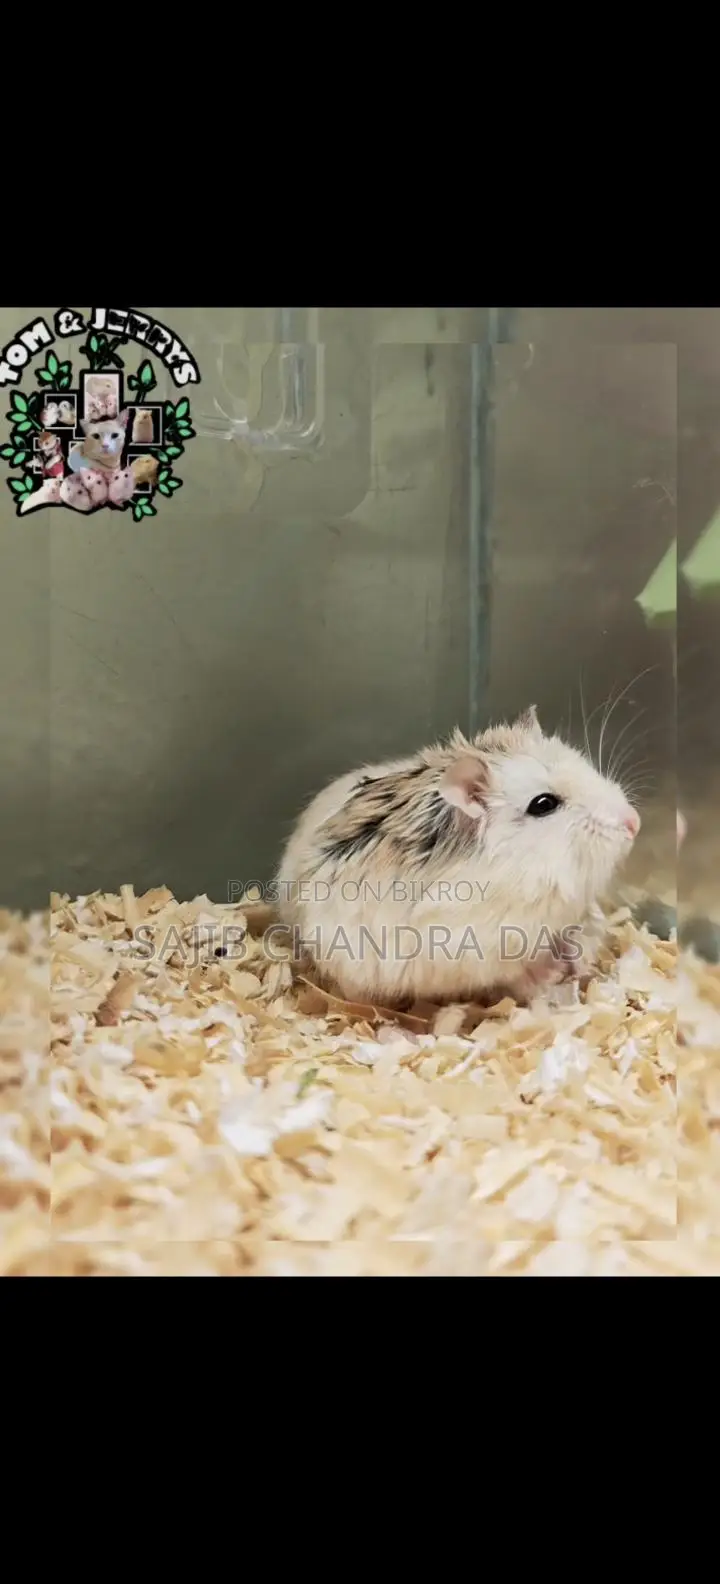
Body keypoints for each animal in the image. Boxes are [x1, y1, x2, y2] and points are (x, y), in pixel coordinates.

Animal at [275, 707, 641, 1007]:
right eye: (544, 804)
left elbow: (585, 924)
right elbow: (513, 971)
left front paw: (581, 959)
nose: (634, 823)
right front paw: (548, 974)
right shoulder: (473, 949)